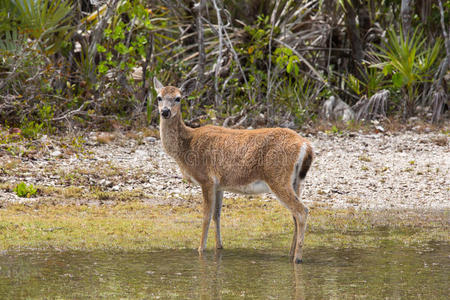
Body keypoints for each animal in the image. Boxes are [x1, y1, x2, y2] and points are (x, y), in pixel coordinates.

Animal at [155, 77, 312, 262]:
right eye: (159, 97)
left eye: (178, 98)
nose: (165, 112)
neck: (187, 145)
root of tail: (305, 145)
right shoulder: (219, 185)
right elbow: (217, 215)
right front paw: (219, 246)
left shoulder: (206, 179)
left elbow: (206, 216)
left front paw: (200, 249)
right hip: (296, 181)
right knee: (295, 214)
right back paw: (290, 253)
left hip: (277, 177)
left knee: (301, 211)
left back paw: (297, 258)